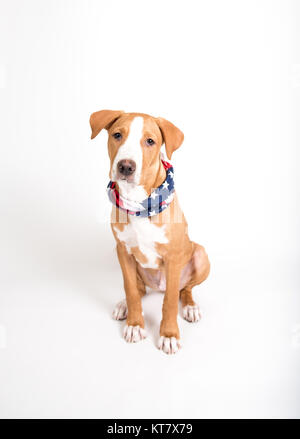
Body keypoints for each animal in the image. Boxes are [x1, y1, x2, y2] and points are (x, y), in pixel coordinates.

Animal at [90, 110, 210, 354]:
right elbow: (131, 290)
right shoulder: (123, 250)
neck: (138, 203)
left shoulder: (173, 258)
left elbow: (171, 301)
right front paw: (135, 324)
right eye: (117, 135)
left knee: (185, 289)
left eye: (150, 141)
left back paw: (190, 307)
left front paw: (169, 335)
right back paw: (124, 305)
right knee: (140, 289)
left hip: (201, 255)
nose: (126, 166)